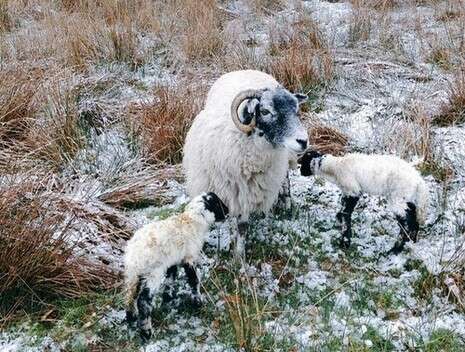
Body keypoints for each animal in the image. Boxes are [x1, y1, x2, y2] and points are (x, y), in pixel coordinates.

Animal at [124, 191, 227, 342]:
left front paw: (168, 299)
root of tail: (134, 252)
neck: (192, 221)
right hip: (152, 272)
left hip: (132, 274)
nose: (228, 212)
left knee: (129, 295)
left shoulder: (172, 261)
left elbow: (170, 279)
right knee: (143, 300)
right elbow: (194, 280)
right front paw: (198, 302)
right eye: (218, 204)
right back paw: (146, 332)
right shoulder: (189, 258)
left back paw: (131, 317)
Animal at [181, 69, 308, 256]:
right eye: (265, 111)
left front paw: (239, 256)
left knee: (285, 179)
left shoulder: (248, 193)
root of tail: (244, 70)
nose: (303, 141)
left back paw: (286, 203)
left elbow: (242, 226)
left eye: (296, 110)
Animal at [298, 150, 428, 254]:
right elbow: (343, 210)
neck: (335, 167)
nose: (300, 172)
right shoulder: (347, 192)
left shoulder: (353, 191)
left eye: (304, 161)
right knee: (413, 218)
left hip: (397, 198)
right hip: (407, 198)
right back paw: (412, 242)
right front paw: (340, 222)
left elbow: (346, 213)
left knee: (406, 224)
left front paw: (345, 241)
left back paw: (396, 249)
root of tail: (419, 181)